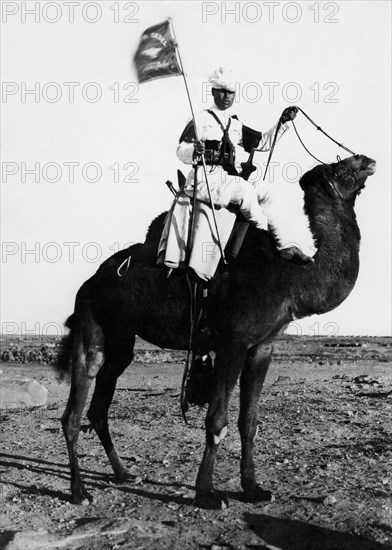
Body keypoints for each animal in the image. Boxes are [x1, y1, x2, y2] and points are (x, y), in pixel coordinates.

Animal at [58, 154, 376, 508]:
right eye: (340, 167)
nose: (367, 160)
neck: (290, 279)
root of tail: (88, 283)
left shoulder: (262, 346)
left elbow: (248, 421)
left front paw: (253, 489)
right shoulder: (233, 342)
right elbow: (216, 420)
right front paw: (207, 494)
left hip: (122, 340)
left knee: (99, 407)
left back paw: (124, 474)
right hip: (91, 323)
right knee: (74, 409)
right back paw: (79, 491)